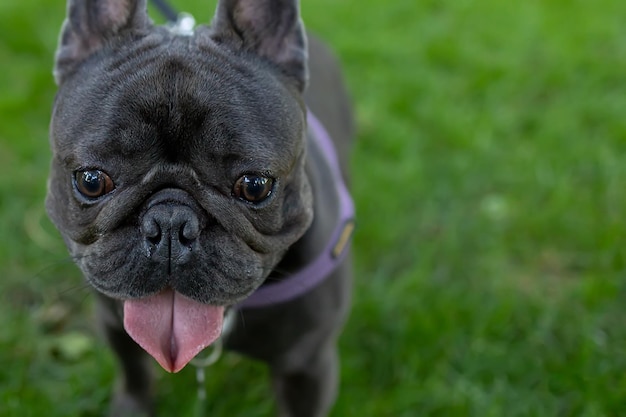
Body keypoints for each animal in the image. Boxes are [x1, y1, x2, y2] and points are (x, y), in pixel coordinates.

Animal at [46, 0, 354, 414]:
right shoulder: (115, 326)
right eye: (92, 181)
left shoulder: (307, 367)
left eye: (254, 186)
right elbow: (134, 372)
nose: (170, 223)